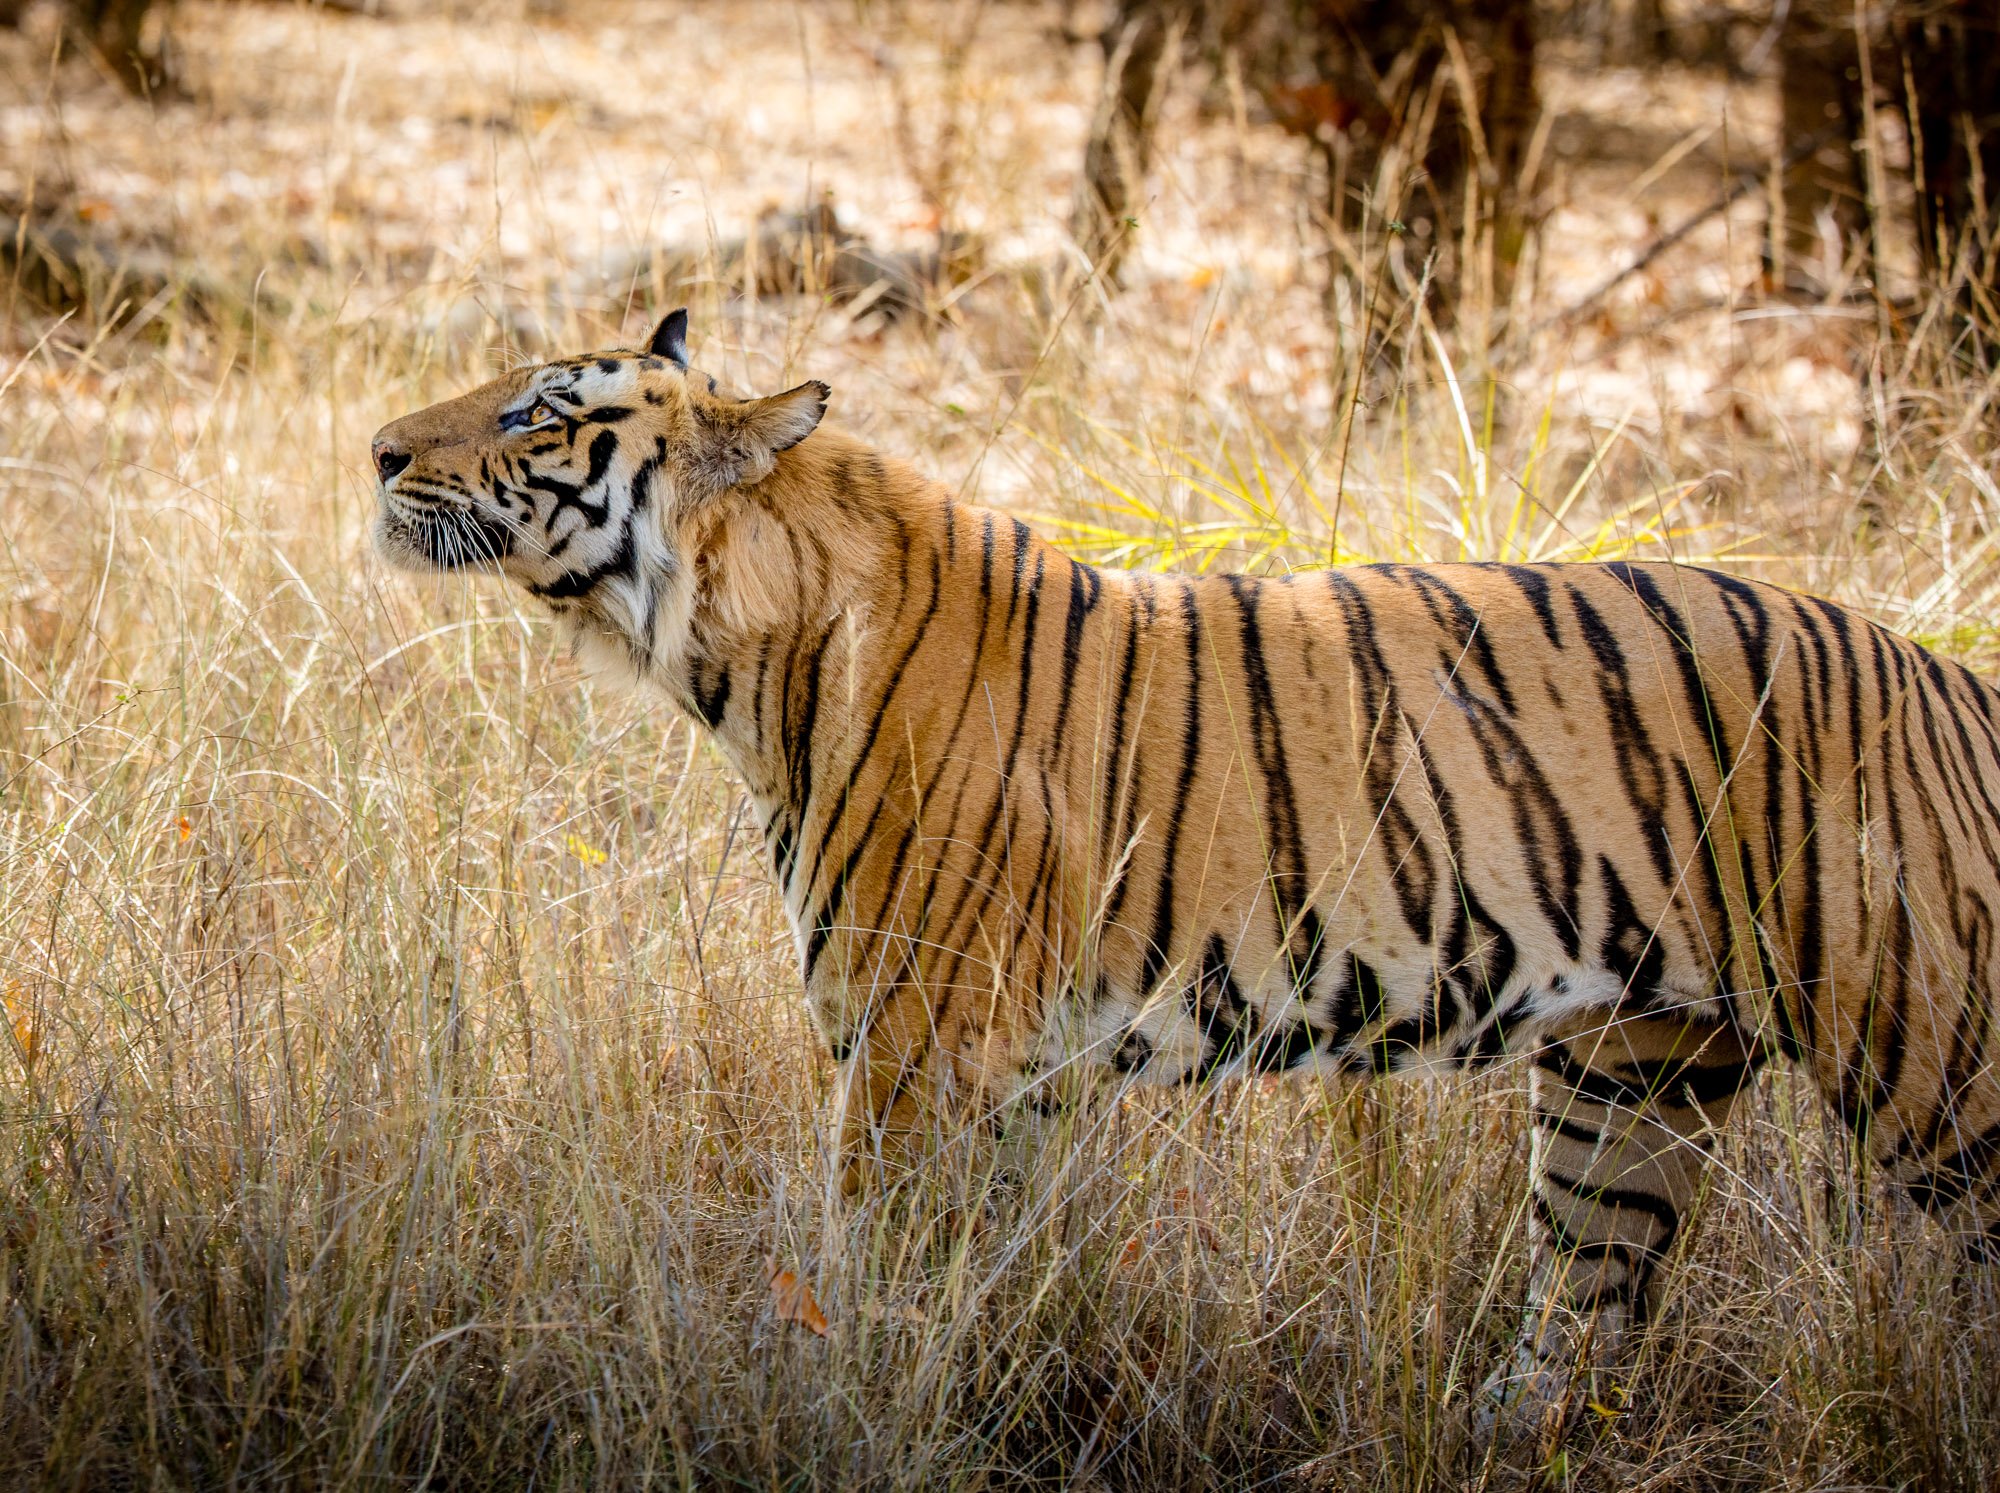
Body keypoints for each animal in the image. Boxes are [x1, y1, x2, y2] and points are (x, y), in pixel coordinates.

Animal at [370, 308, 2000, 1428]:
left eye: (535, 410)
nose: (379, 450)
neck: (737, 660)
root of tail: (1942, 675)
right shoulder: (1003, 1077)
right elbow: (977, 1289)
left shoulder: (909, 1052)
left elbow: (870, 1282)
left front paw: (843, 1418)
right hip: (1634, 1080)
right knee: (1586, 1314)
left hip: (1933, 1061)